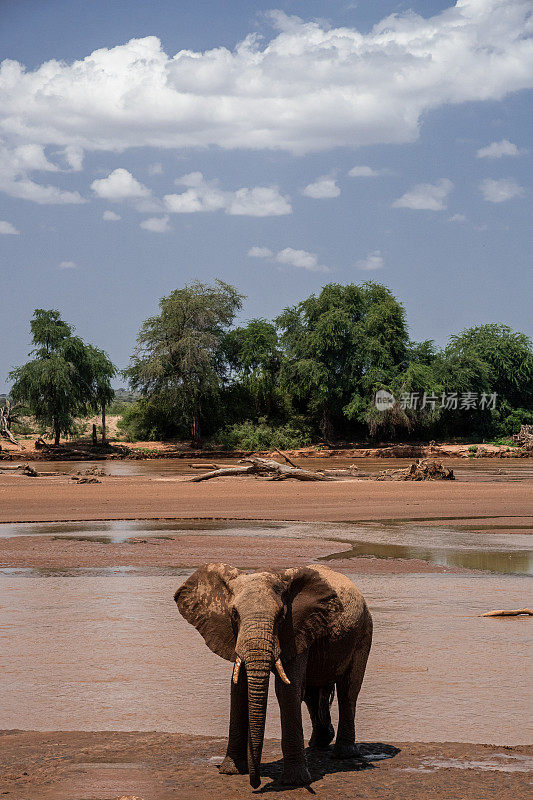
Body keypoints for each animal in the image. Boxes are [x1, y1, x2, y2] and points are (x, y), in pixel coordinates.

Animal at [172, 564, 372, 788]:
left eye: (281, 615)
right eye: (234, 613)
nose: (255, 783)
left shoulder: (296, 629)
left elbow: (287, 690)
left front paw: (294, 782)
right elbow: (238, 689)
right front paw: (231, 771)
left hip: (363, 632)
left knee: (348, 690)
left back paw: (344, 754)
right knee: (312, 694)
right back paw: (318, 743)